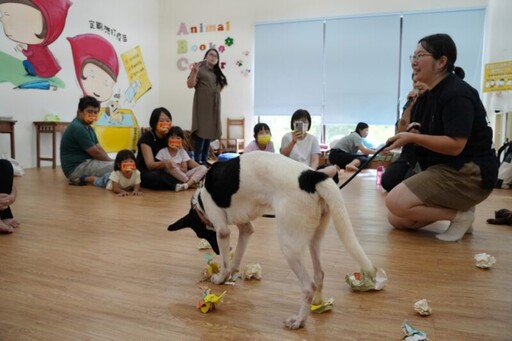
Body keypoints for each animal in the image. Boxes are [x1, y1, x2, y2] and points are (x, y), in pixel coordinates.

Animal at [168, 151, 376, 326]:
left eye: (200, 234)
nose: (216, 251)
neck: (201, 202)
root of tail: (312, 177)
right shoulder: (246, 229)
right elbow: (236, 258)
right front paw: (231, 274)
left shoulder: (222, 231)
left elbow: (226, 262)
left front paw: (220, 278)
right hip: (313, 239)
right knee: (319, 275)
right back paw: (318, 303)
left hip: (289, 246)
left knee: (308, 286)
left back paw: (299, 320)